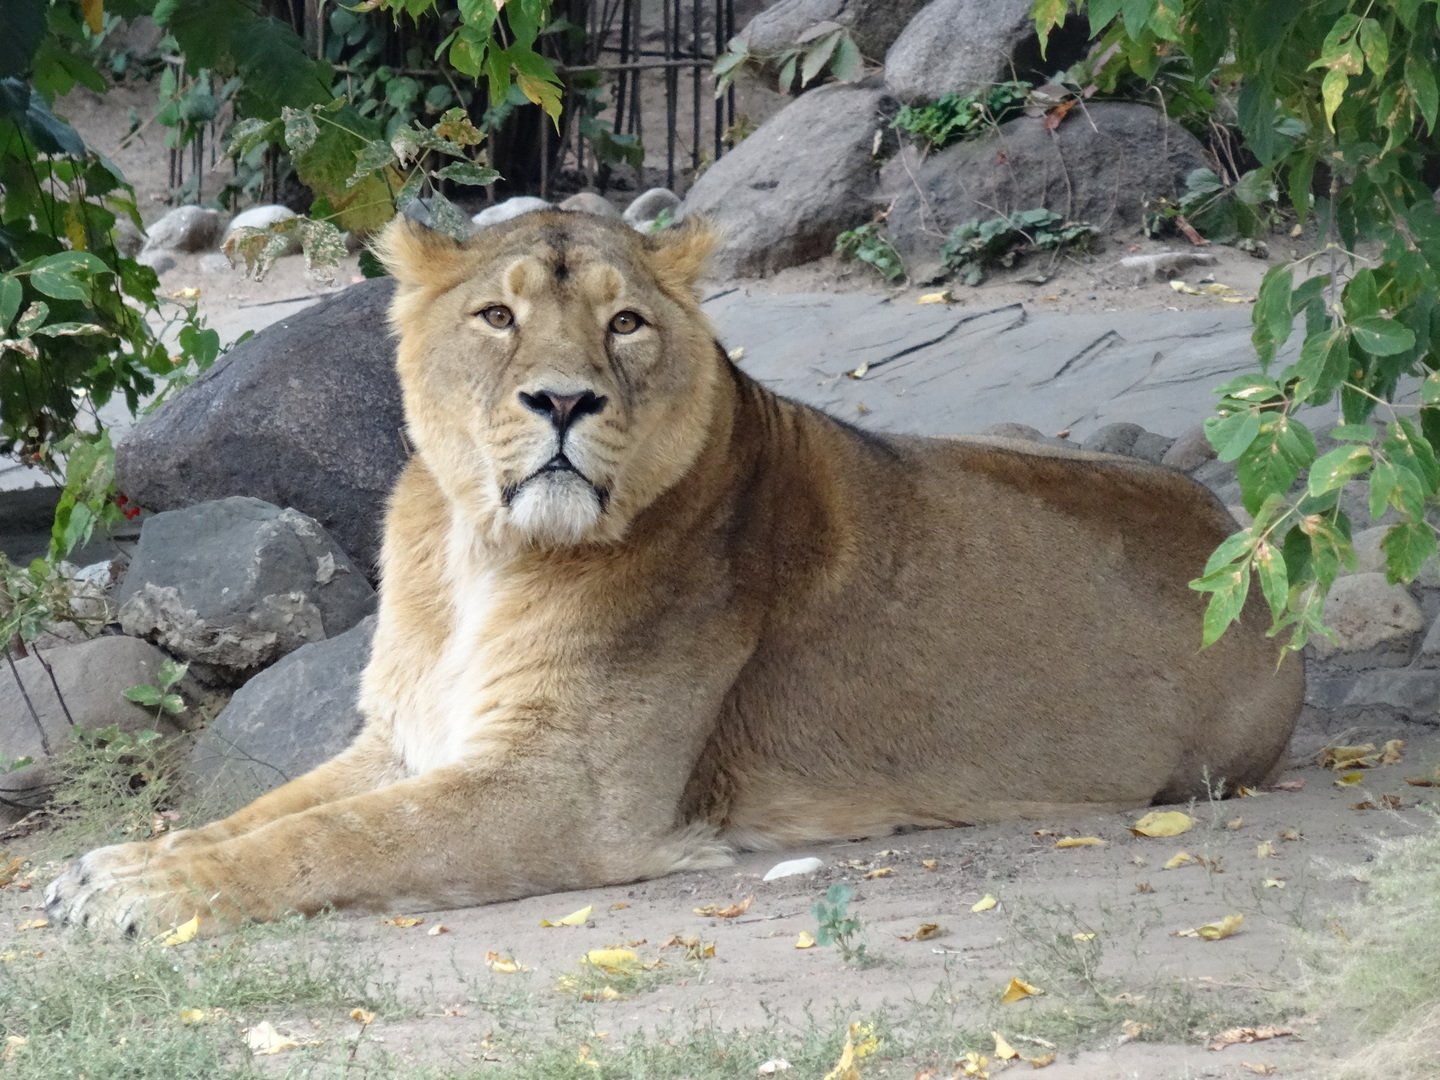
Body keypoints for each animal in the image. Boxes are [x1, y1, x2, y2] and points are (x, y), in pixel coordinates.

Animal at [45, 211, 1307, 938]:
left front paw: (146, 896)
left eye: (627, 326)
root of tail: (1246, 537)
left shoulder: (566, 793)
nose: (562, 400)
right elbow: (262, 815)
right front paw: (118, 865)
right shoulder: (404, 739)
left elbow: (336, 841)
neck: (476, 553)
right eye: (497, 315)